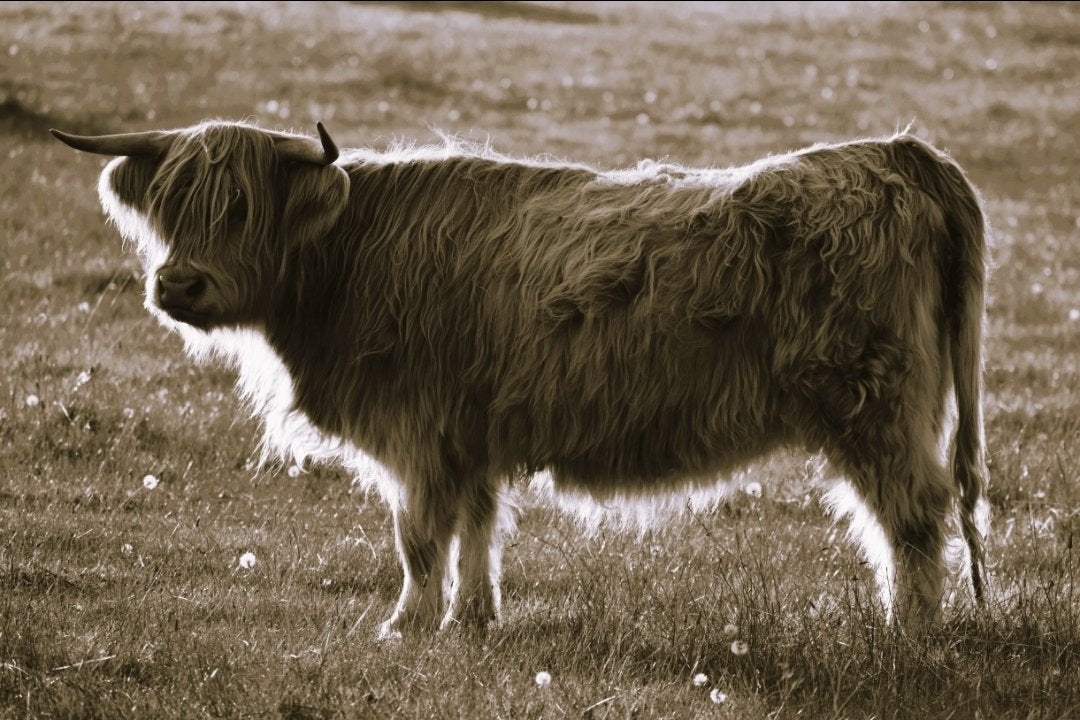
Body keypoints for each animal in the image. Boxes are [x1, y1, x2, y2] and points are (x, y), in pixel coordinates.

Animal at [52, 120, 990, 636]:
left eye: (242, 208)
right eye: (167, 207)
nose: (178, 286)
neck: (345, 261)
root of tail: (898, 156)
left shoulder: (419, 431)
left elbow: (418, 537)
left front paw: (404, 626)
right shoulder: (468, 435)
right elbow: (477, 529)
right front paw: (472, 620)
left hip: (876, 406)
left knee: (913, 515)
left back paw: (906, 632)